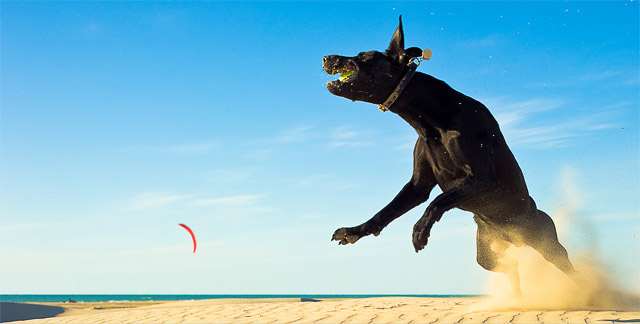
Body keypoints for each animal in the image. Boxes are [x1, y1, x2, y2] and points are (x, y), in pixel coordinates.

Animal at [324, 15, 580, 294]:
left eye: (365, 56)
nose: (326, 57)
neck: (433, 121)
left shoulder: (483, 178)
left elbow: (440, 199)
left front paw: (420, 230)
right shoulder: (418, 186)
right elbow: (386, 211)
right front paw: (354, 230)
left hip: (548, 245)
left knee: (572, 270)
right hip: (486, 255)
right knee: (510, 267)